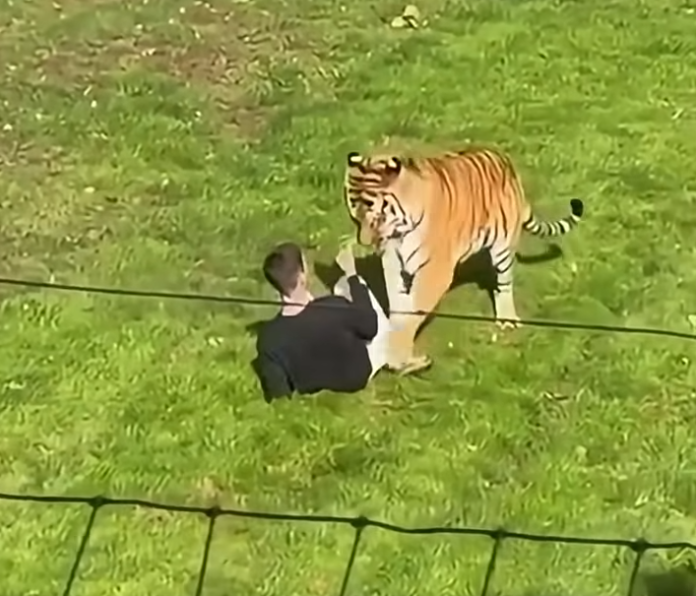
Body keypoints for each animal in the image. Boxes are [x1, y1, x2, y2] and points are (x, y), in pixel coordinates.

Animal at [343, 147, 584, 375]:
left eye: (377, 216)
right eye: (354, 216)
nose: (364, 242)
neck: (400, 231)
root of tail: (506, 163)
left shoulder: (434, 272)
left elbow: (413, 312)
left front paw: (398, 356)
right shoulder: (393, 265)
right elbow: (399, 306)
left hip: (503, 248)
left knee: (504, 284)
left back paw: (507, 319)